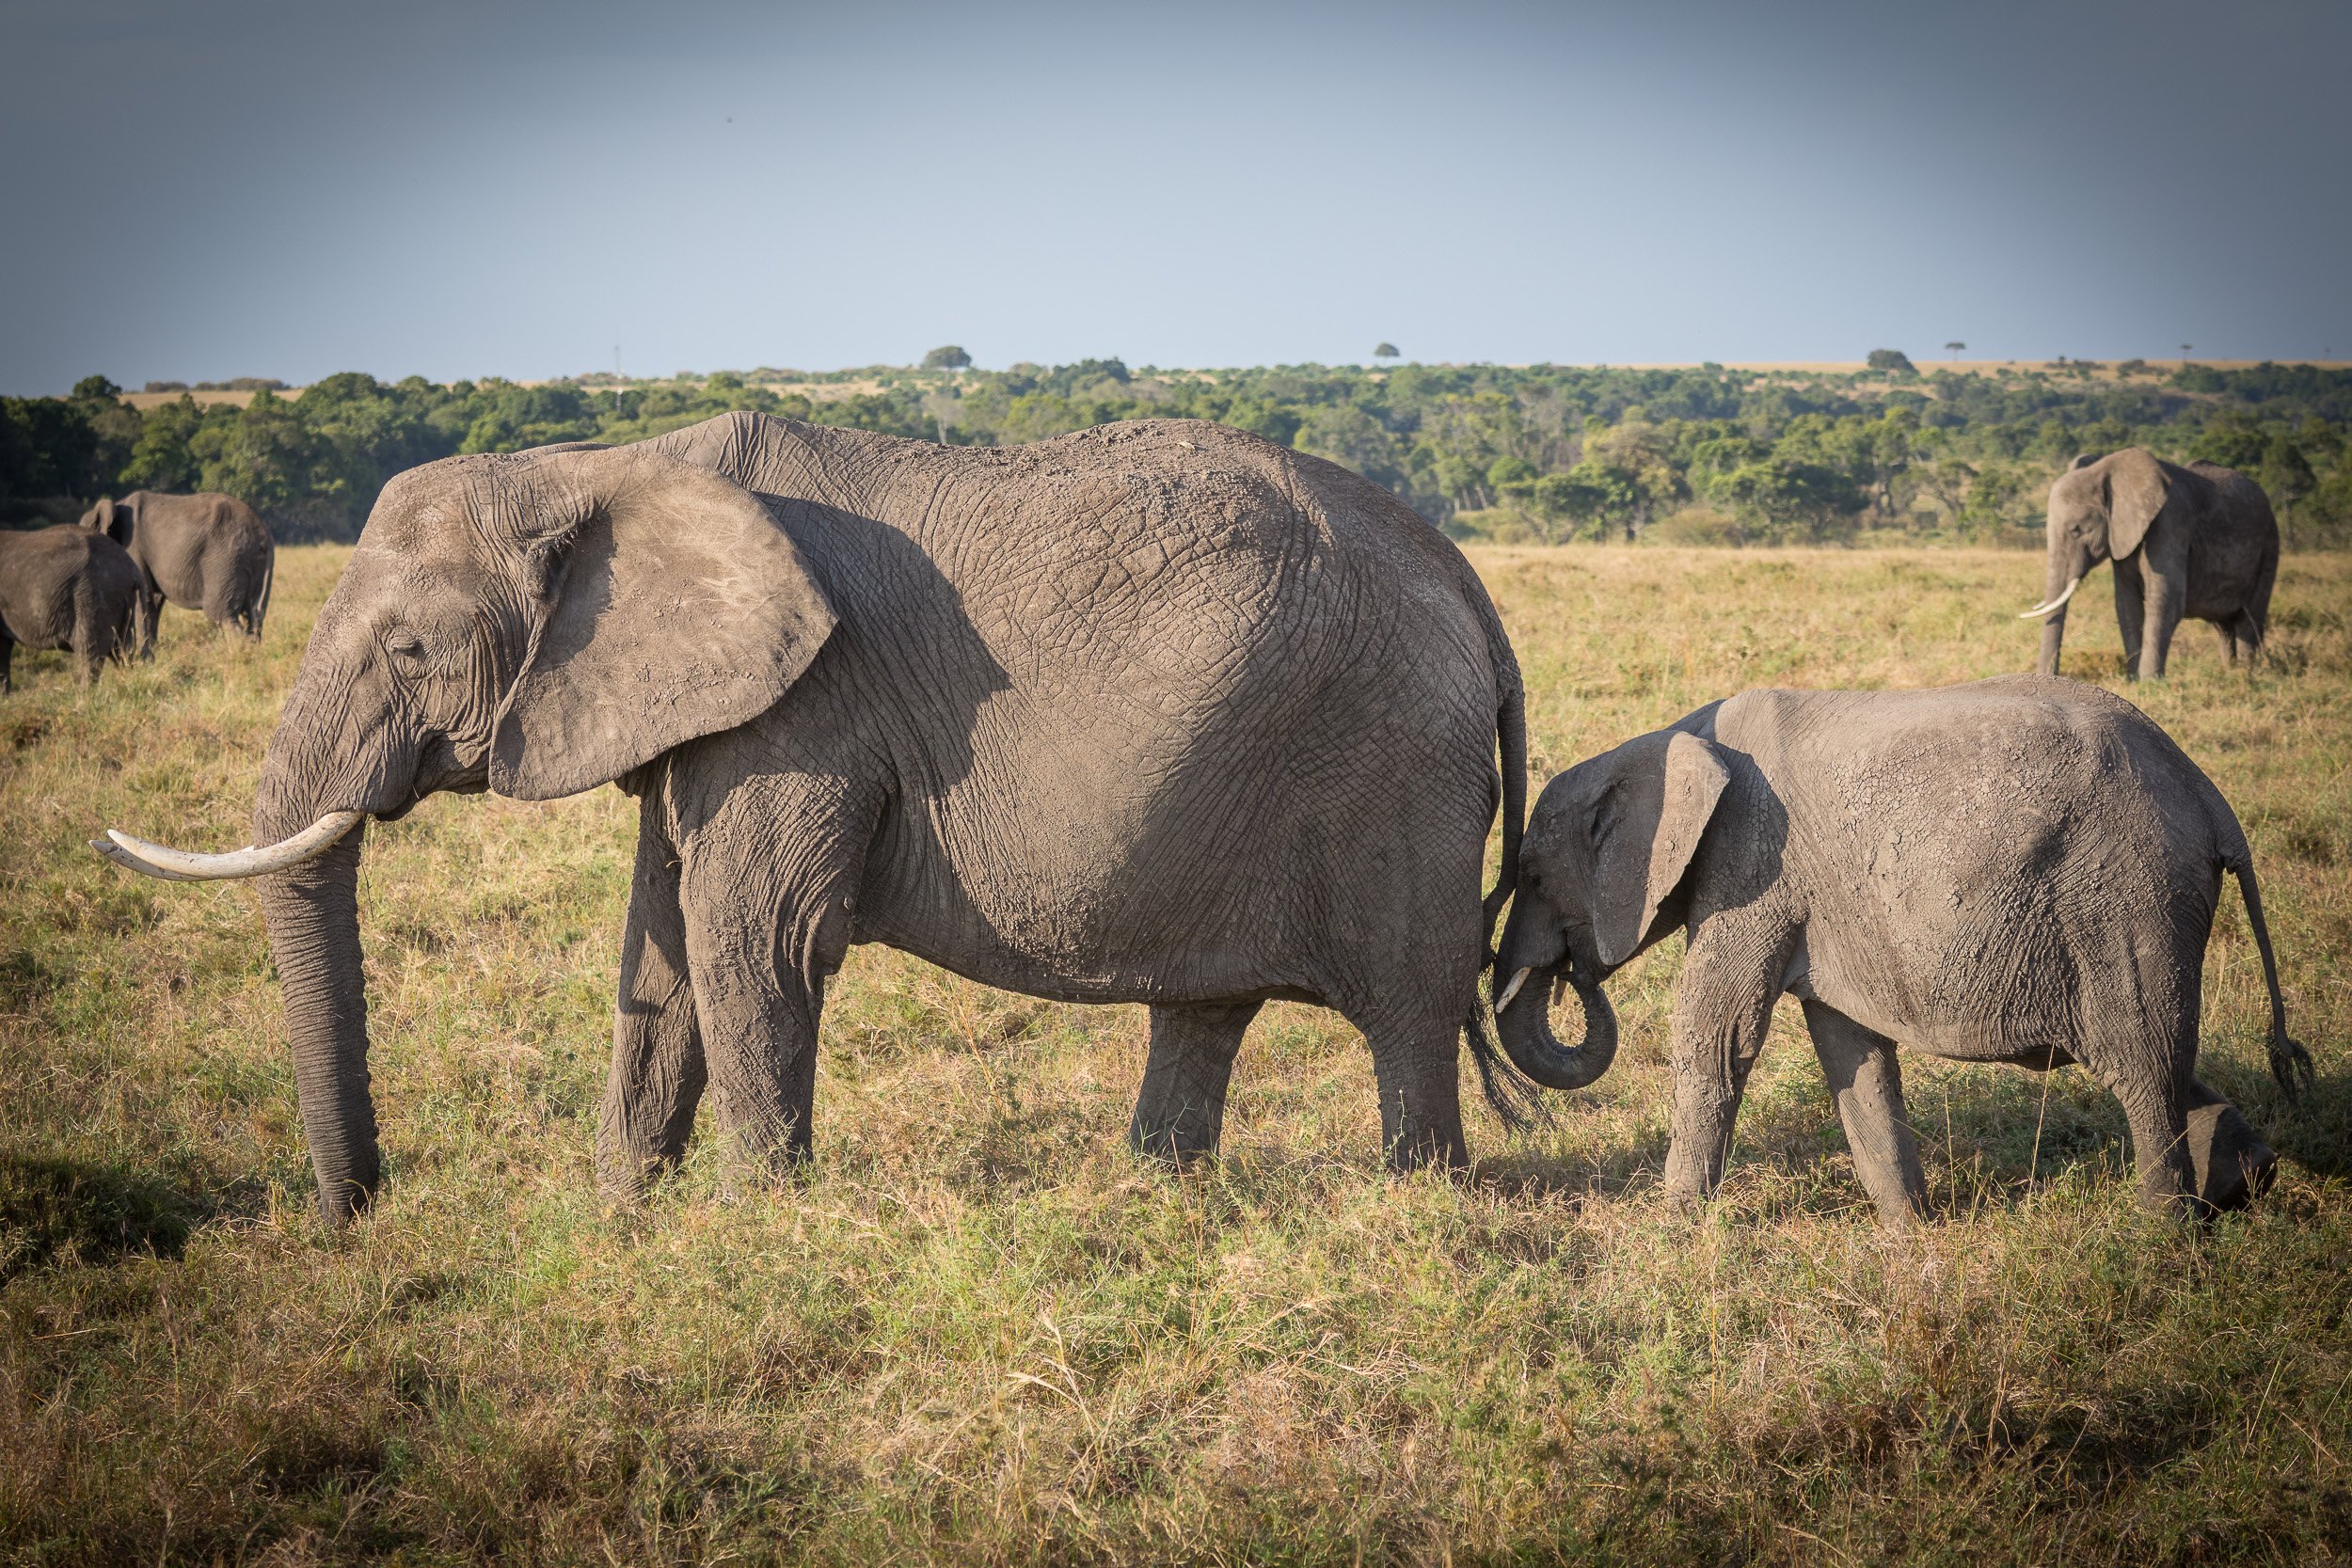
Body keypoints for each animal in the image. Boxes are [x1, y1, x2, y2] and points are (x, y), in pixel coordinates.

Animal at [0, 524, 144, 692]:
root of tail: (133, 571)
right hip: (120, 601)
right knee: (123, 649)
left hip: (93, 596)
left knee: (89, 651)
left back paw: (84, 695)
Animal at [79, 489, 274, 655]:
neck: (116, 505)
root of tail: (262, 535)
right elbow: (153, 601)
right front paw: (155, 651)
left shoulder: (133, 548)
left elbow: (143, 598)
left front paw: (144, 658)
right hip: (254, 563)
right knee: (255, 615)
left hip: (226, 558)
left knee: (221, 614)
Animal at [1491, 674, 2310, 1225]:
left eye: (1531, 874)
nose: (1572, 974)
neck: (1669, 737)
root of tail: (2211, 799)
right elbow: (1849, 1047)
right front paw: (1906, 1230)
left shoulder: (1751, 864)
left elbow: (1715, 1033)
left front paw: (1675, 1228)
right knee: (2156, 1054)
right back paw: (2244, 1183)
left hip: (2127, 896)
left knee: (2141, 1058)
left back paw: (2161, 1234)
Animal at [2021, 449, 2278, 681]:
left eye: (2076, 529)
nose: (2048, 677)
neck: (2107, 469)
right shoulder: (2122, 537)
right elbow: (2127, 605)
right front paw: (2134, 680)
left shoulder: (2170, 523)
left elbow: (2165, 602)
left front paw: (2150, 682)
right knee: (2223, 625)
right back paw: (2230, 671)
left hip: (2269, 545)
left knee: (2249, 619)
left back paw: (2247, 674)